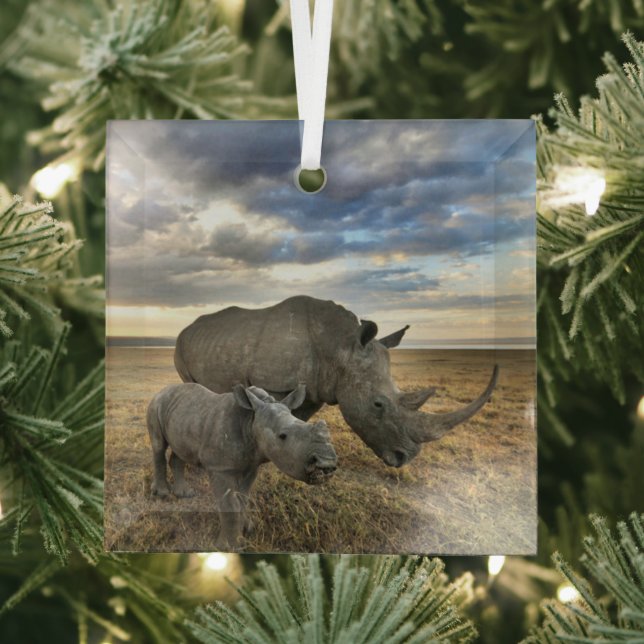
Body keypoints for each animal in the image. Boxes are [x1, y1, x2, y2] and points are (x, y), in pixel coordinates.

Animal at [147, 382, 337, 550]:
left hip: (183, 415)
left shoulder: (252, 465)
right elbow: (230, 504)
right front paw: (229, 546)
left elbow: (243, 499)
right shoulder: (220, 467)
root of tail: (162, 390)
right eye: (282, 436)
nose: (327, 463)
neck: (251, 420)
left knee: (179, 450)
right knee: (158, 446)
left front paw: (247, 529)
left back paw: (185, 494)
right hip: (156, 405)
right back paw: (163, 494)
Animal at [174, 295, 498, 468]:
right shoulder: (275, 382)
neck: (340, 347)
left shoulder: (316, 388)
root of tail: (187, 327)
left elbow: (297, 420)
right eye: (378, 405)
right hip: (181, 344)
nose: (405, 458)